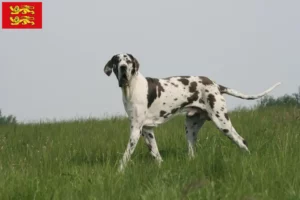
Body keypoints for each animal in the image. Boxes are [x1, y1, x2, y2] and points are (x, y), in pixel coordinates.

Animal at [103, 53, 282, 172]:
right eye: (117, 61)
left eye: (128, 61)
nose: (123, 67)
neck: (133, 87)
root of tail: (216, 84)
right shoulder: (147, 131)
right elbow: (156, 154)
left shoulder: (135, 130)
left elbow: (126, 155)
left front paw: (119, 172)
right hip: (190, 128)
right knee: (192, 152)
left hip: (222, 122)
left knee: (242, 141)